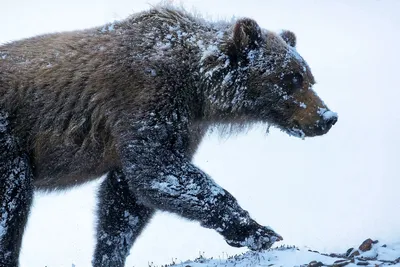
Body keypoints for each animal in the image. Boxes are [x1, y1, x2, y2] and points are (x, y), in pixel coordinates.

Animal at [0, 4, 338, 267]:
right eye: (291, 78)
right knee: (12, 202)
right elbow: (158, 170)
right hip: (11, 142)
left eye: (309, 78)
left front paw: (109, 253)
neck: (197, 87)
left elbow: (125, 201)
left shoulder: (182, 126)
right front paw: (258, 230)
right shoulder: (146, 98)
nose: (328, 117)